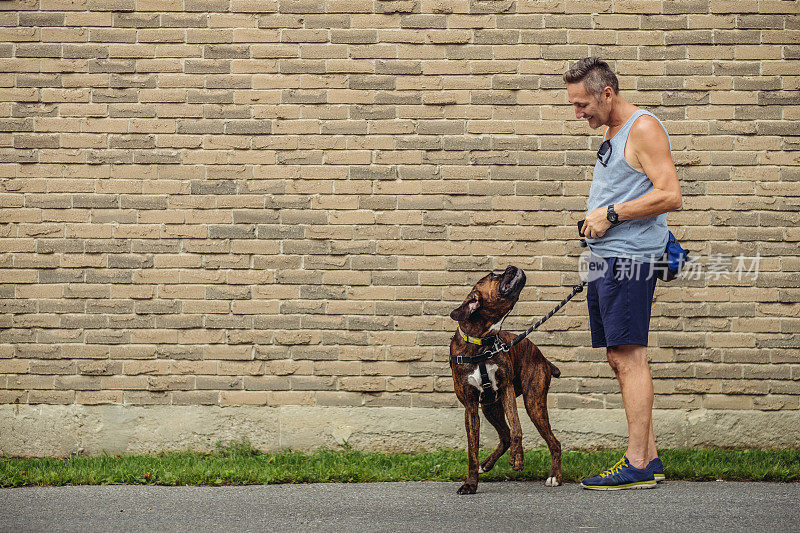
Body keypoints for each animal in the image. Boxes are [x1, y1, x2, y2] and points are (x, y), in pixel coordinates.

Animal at [450, 266, 564, 494]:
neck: (482, 344)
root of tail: (542, 357)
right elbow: (472, 450)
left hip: (533, 402)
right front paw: (470, 483)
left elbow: (517, 428)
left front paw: (518, 460)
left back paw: (554, 477)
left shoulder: (506, 389)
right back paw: (486, 464)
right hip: (490, 407)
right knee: (504, 435)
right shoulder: (470, 406)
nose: (512, 267)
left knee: (552, 442)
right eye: (493, 276)